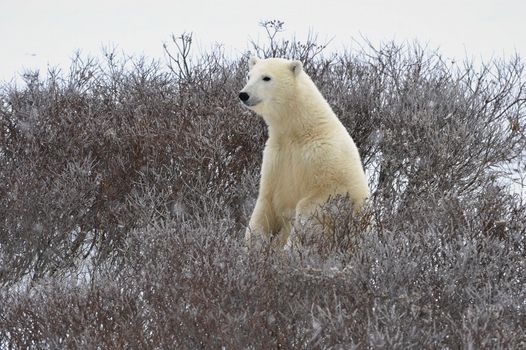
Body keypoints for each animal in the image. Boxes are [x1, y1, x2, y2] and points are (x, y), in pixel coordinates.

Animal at [240, 56, 372, 249]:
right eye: (249, 76)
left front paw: (291, 246)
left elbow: (313, 205)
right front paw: (253, 245)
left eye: (266, 77)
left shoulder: (323, 156)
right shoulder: (276, 157)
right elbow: (265, 202)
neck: (300, 130)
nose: (244, 94)